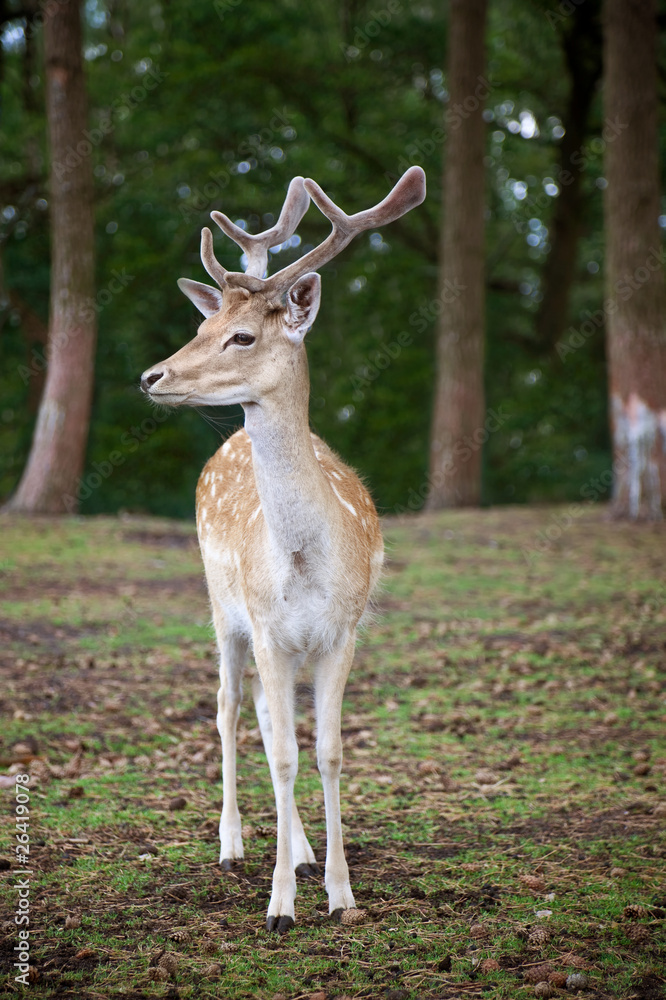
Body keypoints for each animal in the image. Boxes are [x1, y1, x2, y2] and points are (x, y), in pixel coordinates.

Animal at [140, 165, 426, 932]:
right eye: (201, 325)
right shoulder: (268, 628)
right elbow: (285, 754)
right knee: (230, 708)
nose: (151, 377)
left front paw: (341, 895)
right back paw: (234, 846)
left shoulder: (339, 632)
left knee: (270, 722)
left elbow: (325, 752)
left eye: (241, 336)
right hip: (222, 610)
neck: (302, 563)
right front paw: (279, 908)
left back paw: (298, 853)